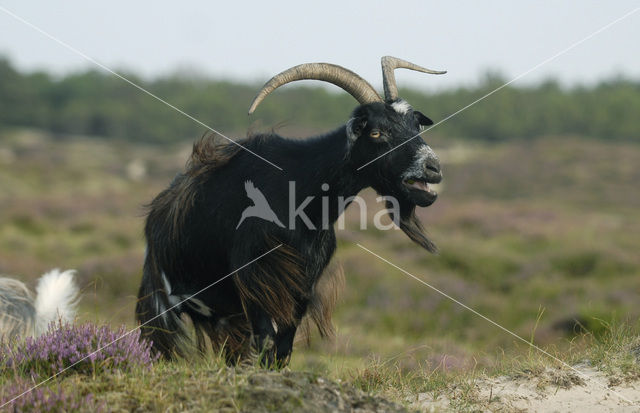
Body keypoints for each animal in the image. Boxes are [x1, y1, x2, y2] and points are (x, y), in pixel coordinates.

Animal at [135, 55, 444, 364]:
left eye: (416, 126)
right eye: (377, 132)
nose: (433, 168)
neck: (299, 192)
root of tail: (157, 212)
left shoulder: (300, 288)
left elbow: (282, 349)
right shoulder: (256, 281)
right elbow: (266, 342)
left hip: (225, 315)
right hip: (160, 301)